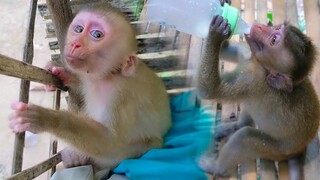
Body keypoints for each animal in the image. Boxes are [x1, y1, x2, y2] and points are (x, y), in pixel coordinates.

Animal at [8, 3, 171, 171]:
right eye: (79, 29)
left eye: (97, 34)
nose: (75, 43)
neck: (110, 75)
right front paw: (60, 71)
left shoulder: (119, 94)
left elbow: (110, 143)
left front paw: (46, 119)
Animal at [198, 14, 320, 178]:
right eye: (276, 28)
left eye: (273, 40)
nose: (260, 26)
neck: (263, 68)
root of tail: (299, 150)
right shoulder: (250, 57)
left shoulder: (253, 81)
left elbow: (211, 90)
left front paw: (216, 33)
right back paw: (236, 126)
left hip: (276, 151)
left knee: (244, 138)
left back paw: (216, 168)